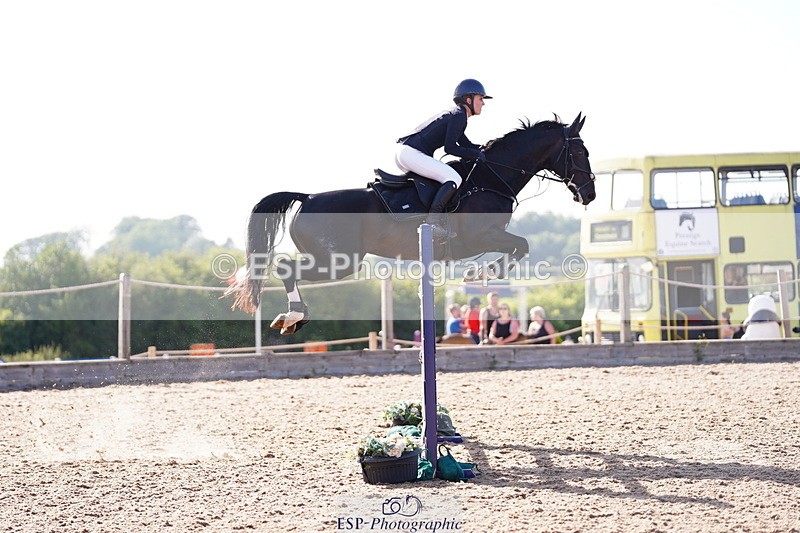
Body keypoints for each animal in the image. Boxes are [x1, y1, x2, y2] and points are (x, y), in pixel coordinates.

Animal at [225, 113, 595, 334]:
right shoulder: (481, 236)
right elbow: (521, 245)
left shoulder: (489, 237)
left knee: (287, 267)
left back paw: (293, 317)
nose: (589, 193)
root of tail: (308, 197)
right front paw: (483, 272)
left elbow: (519, 247)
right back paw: (294, 316)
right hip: (338, 261)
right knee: (287, 268)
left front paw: (483, 273)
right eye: (580, 152)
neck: (491, 177)